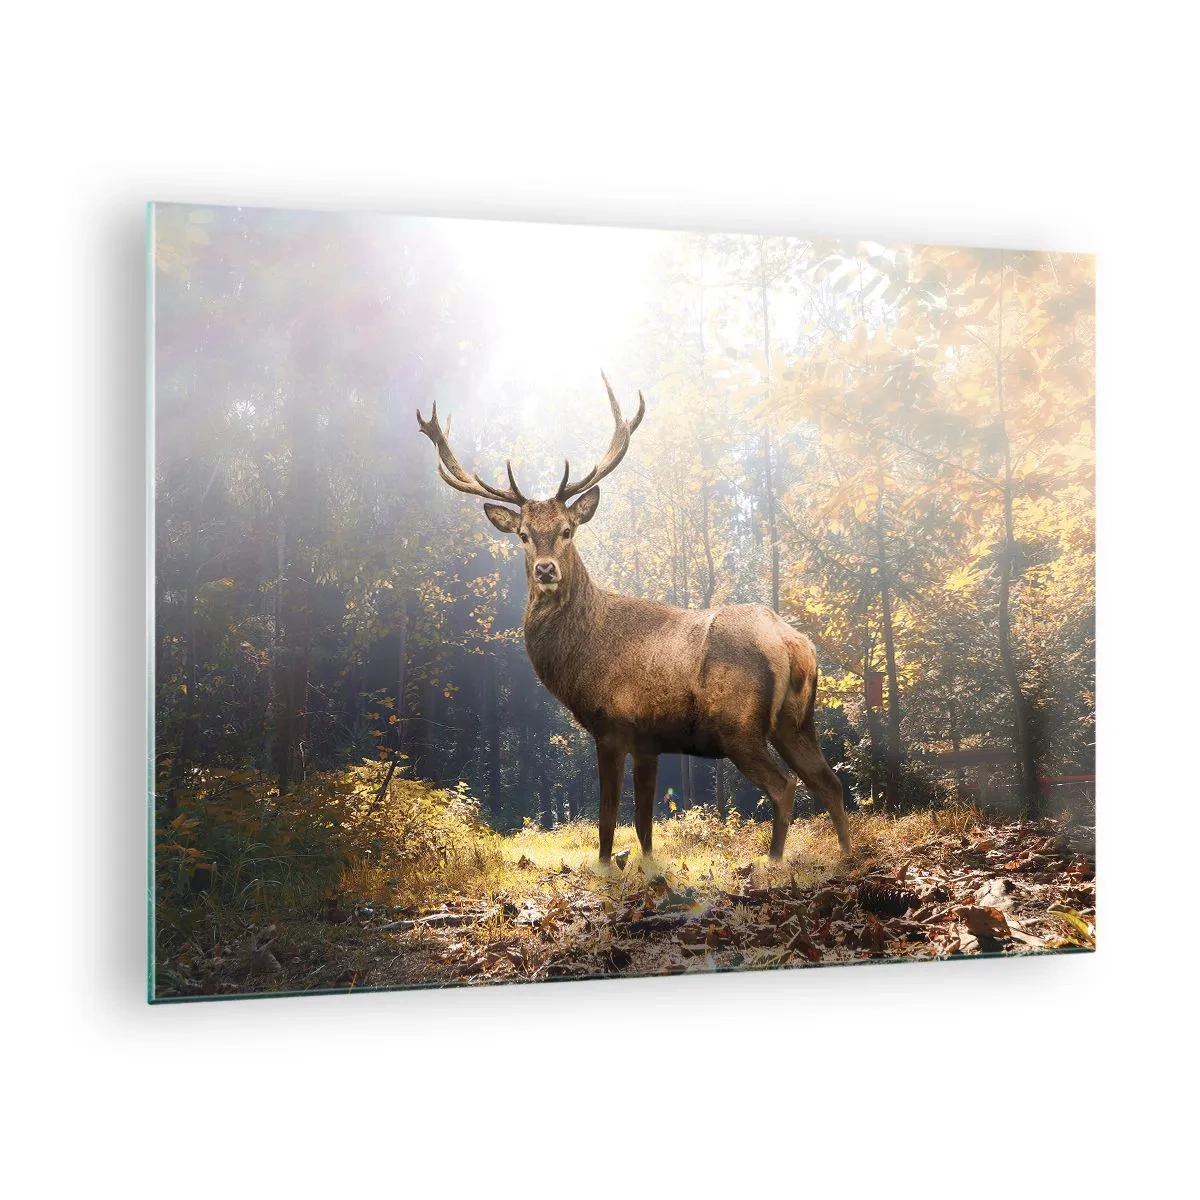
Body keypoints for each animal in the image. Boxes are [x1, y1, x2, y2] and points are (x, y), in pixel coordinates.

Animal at [416, 376, 852, 868]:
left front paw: (606, 867)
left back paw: (773, 861)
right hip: (796, 721)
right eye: (523, 535)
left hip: (739, 724)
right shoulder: (649, 739)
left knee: (785, 785)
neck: (581, 657)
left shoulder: (612, 724)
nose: (546, 570)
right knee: (830, 782)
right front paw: (646, 867)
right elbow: (644, 821)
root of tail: (794, 643)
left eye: (567, 530)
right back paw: (846, 855)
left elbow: (608, 817)